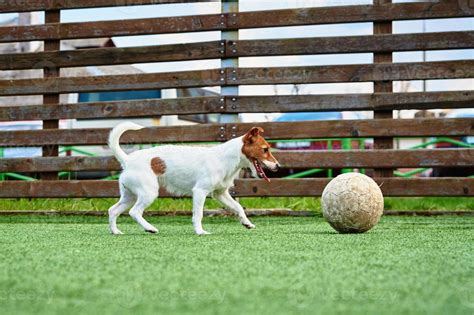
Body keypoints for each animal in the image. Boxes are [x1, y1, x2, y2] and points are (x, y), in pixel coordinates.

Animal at [107, 122, 280, 236]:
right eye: (265, 150)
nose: (278, 166)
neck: (226, 158)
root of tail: (128, 160)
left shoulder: (220, 194)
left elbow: (238, 207)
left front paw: (247, 223)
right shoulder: (200, 192)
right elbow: (198, 214)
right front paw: (200, 231)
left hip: (130, 195)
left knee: (113, 210)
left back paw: (116, 231)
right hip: (148, 193)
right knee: (134, 212)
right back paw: (150, 228)